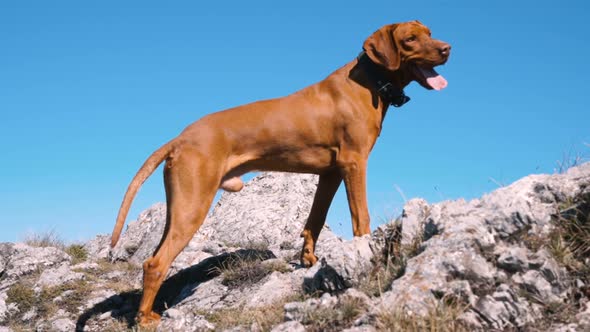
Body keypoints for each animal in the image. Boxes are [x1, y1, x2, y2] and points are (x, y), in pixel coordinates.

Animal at [112, 20, 454, 324]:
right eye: (410, 39)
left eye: (430, 33)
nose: (448, 49)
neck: (369, 80)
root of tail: (180, 138)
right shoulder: (354, 163)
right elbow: (361, 217)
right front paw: (364, 250)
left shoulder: (331, 173)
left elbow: (314, 220)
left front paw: (309, 260)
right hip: (193, 206)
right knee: (155, 263)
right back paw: (145, 318)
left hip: (179, 207)